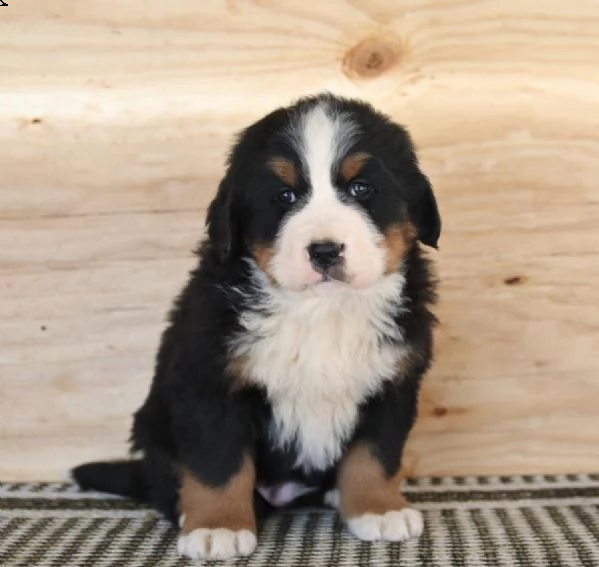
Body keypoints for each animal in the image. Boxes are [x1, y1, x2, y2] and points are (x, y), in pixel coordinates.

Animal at [74, 92, 440, 560]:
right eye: (284, 195)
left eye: (361, 189)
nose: (324, 251)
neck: (321, 311)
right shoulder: (210, 381)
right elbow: (218, 462)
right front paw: (218, 526)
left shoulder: (392, 382)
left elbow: (376, 455)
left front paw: (378, 509)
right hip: (155, 428)